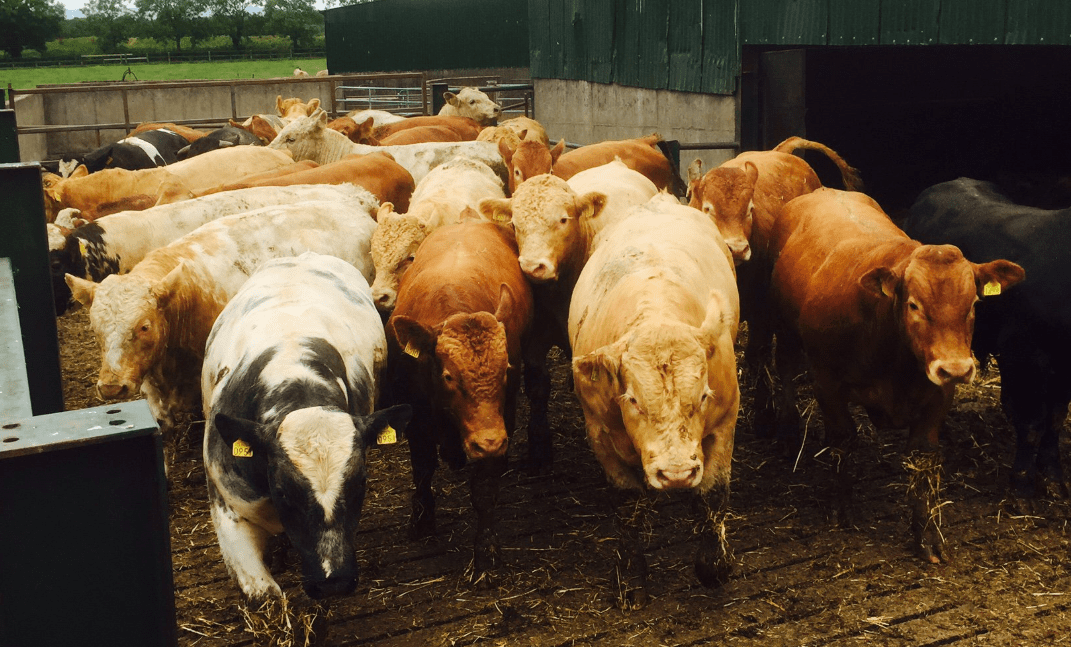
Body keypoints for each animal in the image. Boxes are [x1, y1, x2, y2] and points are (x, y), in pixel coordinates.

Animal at [386, 220, 547, 576]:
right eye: (449, 376)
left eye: (506, 371)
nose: (488, 443)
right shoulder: (417, 420)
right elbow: (423, 470)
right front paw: (422, 520)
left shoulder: (501, 420)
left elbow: (484, 490)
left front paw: (486, 552)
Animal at [568, 193, 740, 608]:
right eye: (631, 399)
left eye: (704, 394)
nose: (676, 474)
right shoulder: (599, 435)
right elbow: (628, 506)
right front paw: (632, 577)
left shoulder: (725, 421)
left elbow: (712, 495)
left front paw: (714, 566)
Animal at [684, 136, 863, 437]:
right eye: (708, 208)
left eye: (750, 209)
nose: (737, 248)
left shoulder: (763, 314)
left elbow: (758, 356)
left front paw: (764, 414)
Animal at [765, 187, 1024, 563]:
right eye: (914, 304)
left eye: (974, 304)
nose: (956, 368)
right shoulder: (827, 384)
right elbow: (843, 440)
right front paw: (844, 509)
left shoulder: (938, 395)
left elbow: (922, 459)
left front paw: (926, 534)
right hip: (782, 327)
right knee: (784, 369)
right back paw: (786, 431)